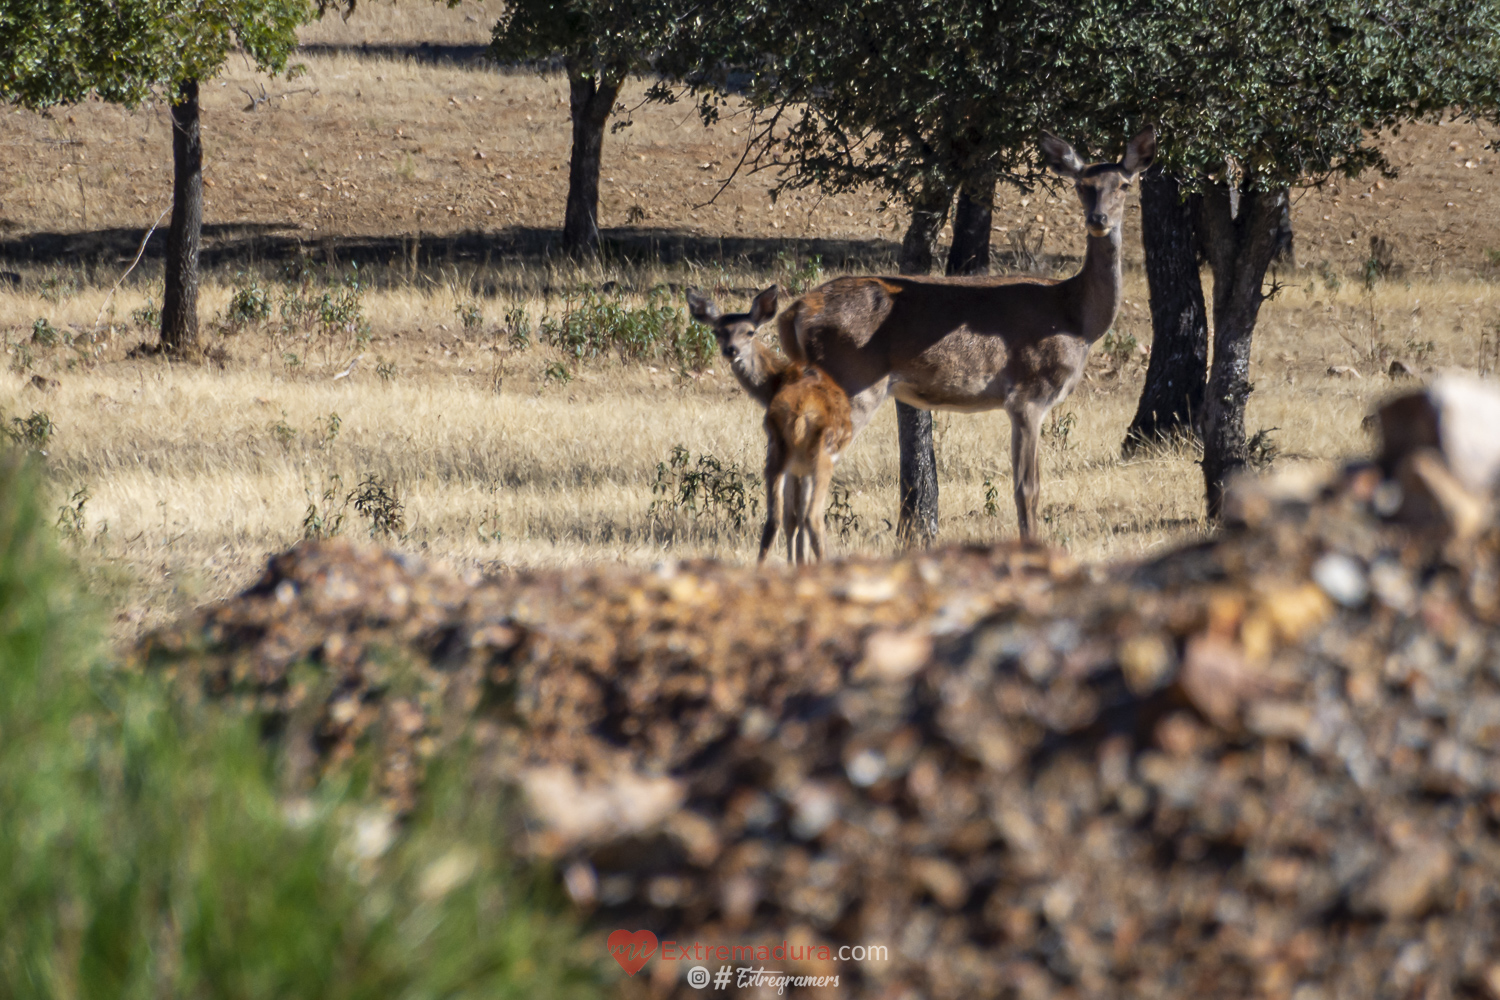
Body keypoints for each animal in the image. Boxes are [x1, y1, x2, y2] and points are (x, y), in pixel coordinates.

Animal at [684, 287, 852, 563]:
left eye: (749, 331)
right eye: (717, 331)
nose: (731, 349)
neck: (775, 382)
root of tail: (800, 414)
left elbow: (791, 519)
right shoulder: (801, 467)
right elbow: (797, 518)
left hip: (778, 451)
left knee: (773, 519)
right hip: (818, 454)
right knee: (812, 518)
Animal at [780, 132, 1152, 542]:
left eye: (1124, 184)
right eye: (1082, 185)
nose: (1098, 219)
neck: (1076, 319)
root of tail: (794, 313)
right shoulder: (1028, 395)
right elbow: (1028, 488)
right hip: (854, 381)